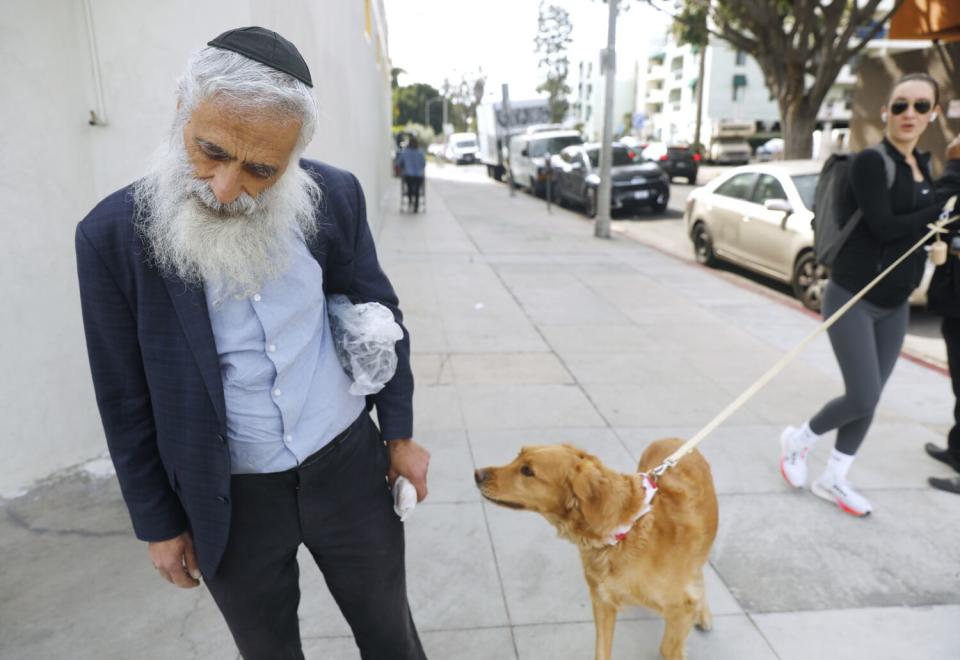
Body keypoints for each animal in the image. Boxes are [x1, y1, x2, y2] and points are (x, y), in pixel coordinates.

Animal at [476, 438, 716, 660]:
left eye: (527, 471)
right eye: (518, 456)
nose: (476, 474)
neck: (626, 531)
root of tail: (673, 439)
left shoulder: (680, 610)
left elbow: (668, 647)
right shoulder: (602, 600)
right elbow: (601, 650)